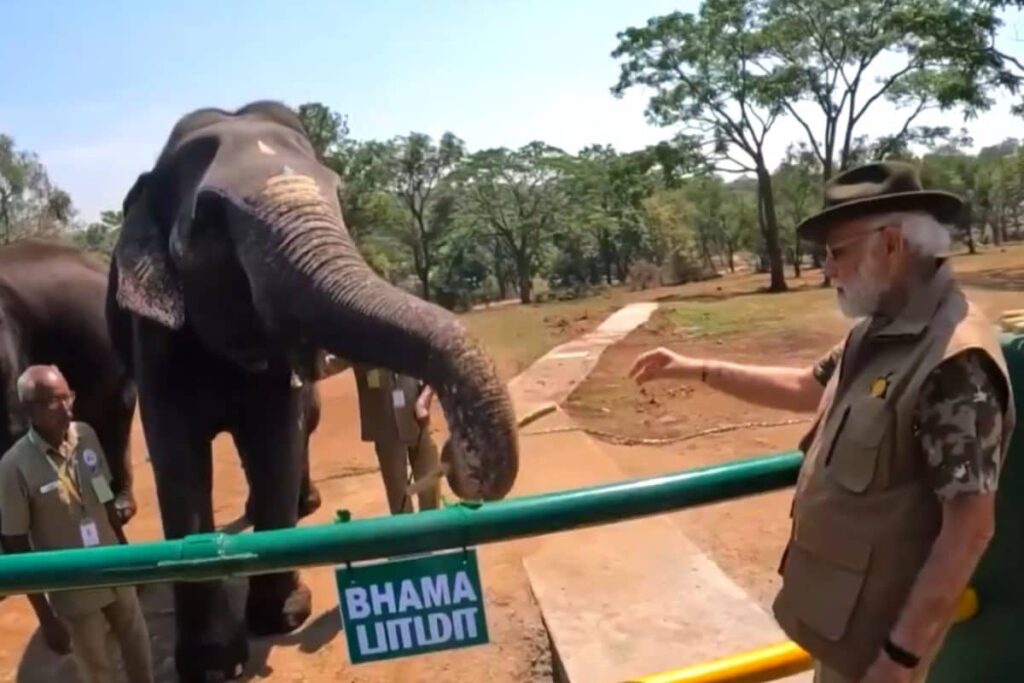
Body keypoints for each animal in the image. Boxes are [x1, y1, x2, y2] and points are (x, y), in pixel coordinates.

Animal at [108, 101, 520, 683]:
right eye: (207, 221)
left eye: (338, 193)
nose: (450, 448)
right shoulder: (154, 339)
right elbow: (179, 461)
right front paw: (214, 666)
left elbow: (275, 440)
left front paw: (284, 618)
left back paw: (303, 506)